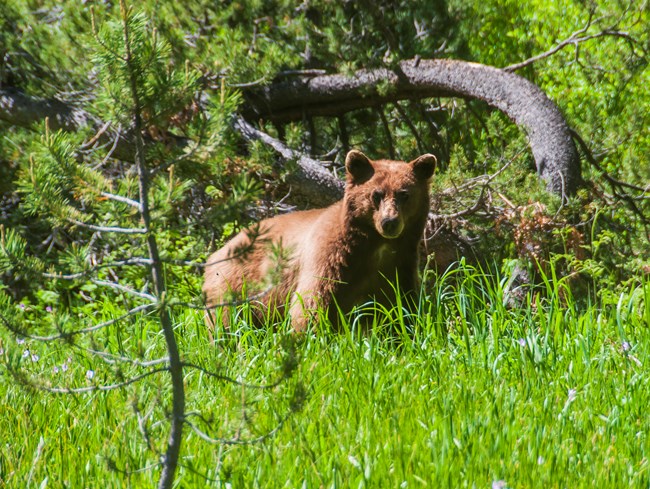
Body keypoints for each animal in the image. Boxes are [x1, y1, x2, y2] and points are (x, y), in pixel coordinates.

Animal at [202, 150, 436, 332]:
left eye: (404, 194)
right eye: (376, 194)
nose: (389, 222)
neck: (375, 246)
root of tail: (218, 253)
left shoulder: (400, 264)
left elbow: (401, 306)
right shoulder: (331, 256)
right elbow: (312, 301)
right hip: (233, 285)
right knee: (227, 321)